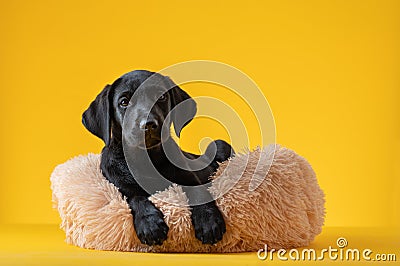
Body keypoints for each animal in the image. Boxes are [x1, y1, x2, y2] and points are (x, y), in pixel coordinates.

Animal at [83, 70, 236, 245]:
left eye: (161, 97)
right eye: (124, 102)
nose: (148, 124)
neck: (147, 160)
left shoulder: (192, 177)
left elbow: (199, 192)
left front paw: (208, 221)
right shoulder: (120, 188)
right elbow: (136, 199)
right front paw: (150, 224)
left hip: (219, 144)